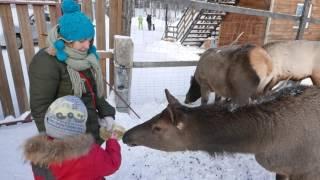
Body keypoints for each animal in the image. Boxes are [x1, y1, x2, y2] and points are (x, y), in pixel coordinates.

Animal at [185, 40, 320, 105]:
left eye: (191, 86)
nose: (186, 99)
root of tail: (267, 66)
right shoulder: (217, 87)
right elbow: (216, 101)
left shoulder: (205, 83)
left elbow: (205, 101)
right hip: (259, 89)